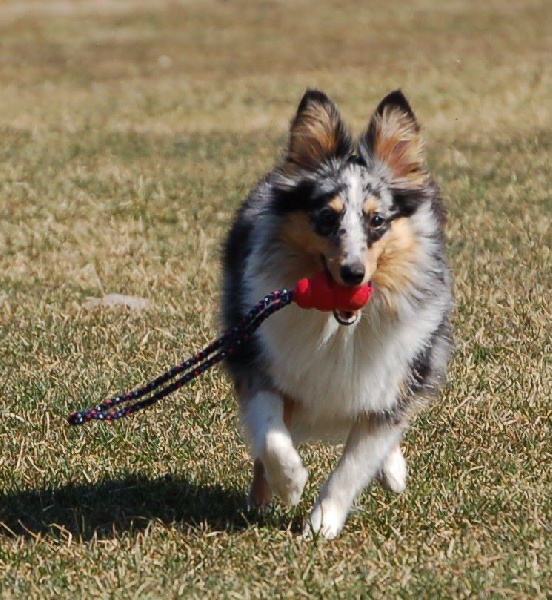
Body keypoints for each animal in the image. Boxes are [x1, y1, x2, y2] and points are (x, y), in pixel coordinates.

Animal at [221, 90, 452, 540]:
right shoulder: (259, 359)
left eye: (377, 220)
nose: (353, 274)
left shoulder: (391, 382)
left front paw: (321, 525)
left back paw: (394, 472)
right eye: (327, 217)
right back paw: (262, 498)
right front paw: (290, 484)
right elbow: (271, 435)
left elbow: (353, 465)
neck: (340, 328)